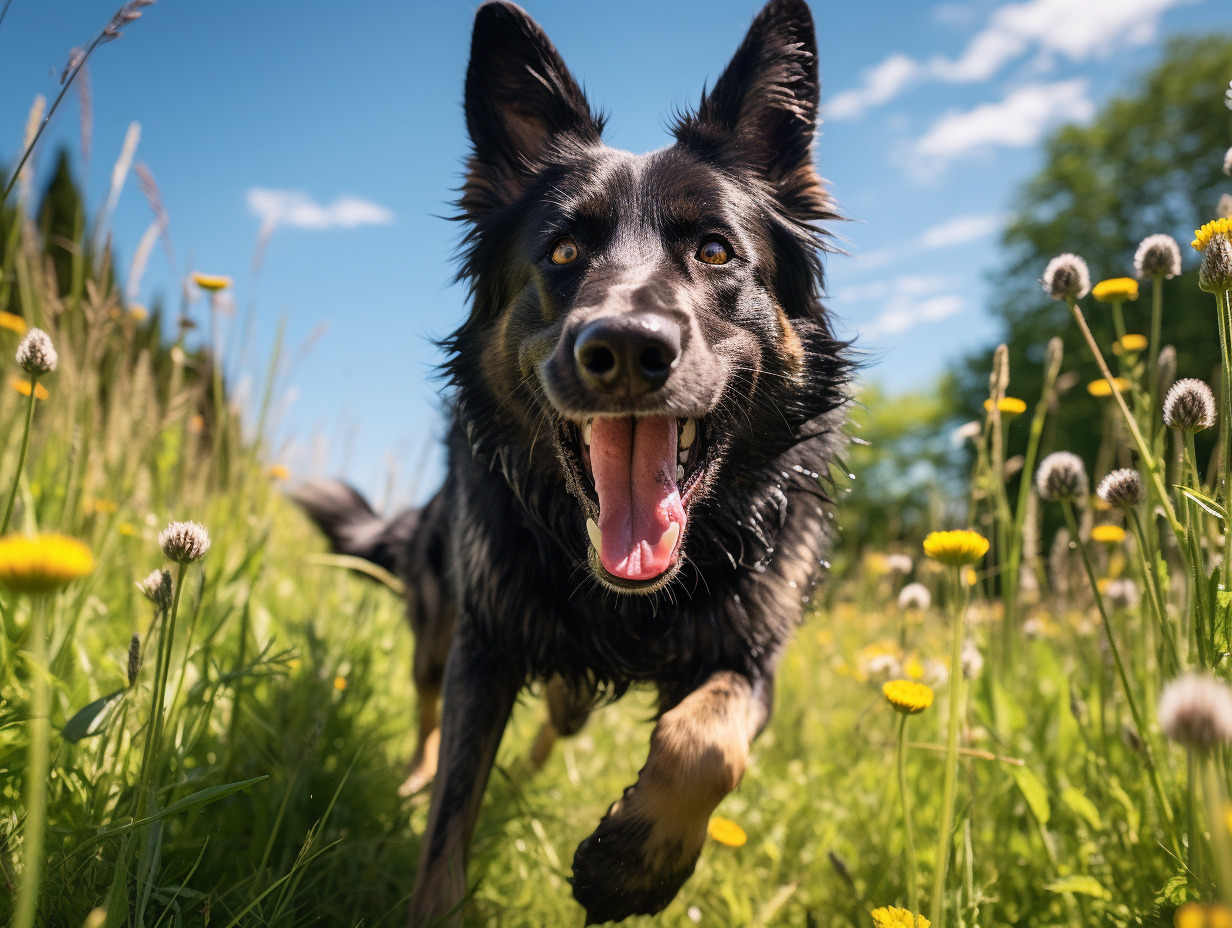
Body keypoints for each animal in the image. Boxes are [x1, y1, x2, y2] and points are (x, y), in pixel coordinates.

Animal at [294, 3, 852, 921]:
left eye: (715, 251)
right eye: (561, 253)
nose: (624, 348)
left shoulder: (752, 656)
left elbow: (706, 745)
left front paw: (628, 865)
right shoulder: (484, 642)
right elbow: (448, 822)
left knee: (566, 711)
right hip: (440, 610)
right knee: (429, 706)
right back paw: (418, 775)